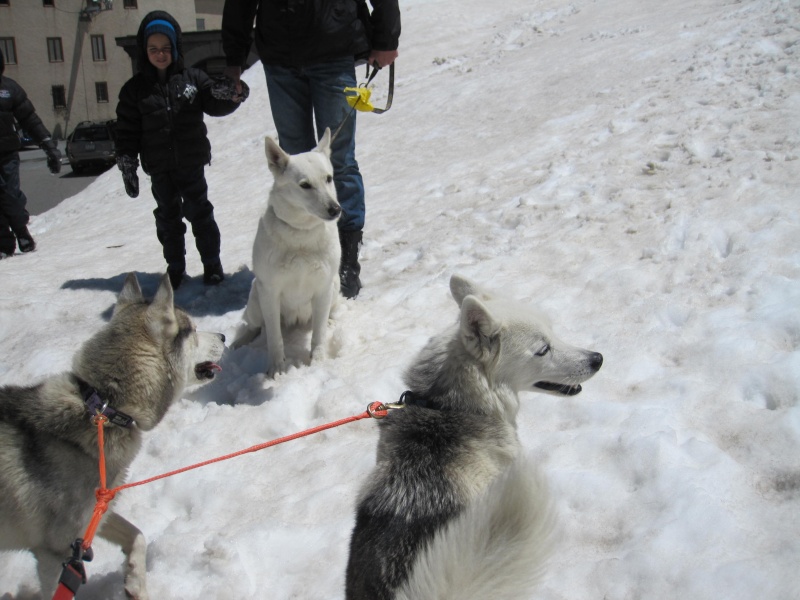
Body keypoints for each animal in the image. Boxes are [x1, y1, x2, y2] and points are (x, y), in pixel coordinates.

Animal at [0, 274, 225, 596]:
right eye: (192, 329)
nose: (223, 336)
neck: (105, 408)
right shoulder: (55, 550)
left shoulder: (96, 516)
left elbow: (137, 535)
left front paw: (135, 582)